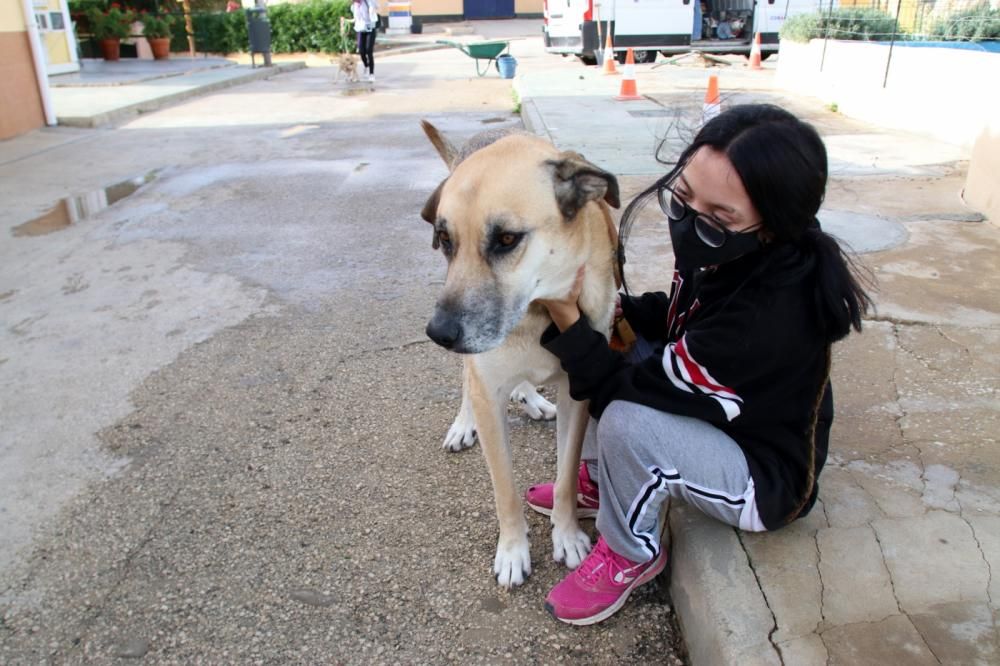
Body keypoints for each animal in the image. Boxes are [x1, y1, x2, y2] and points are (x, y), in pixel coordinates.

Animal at [420, 120, 620, 588]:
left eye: (507, 239)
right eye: (445, 239)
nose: (438, 334)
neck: (539, 310)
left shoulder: (577, 391)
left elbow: (565, 479)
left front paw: (567, 535)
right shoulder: (487, 390)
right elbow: (505, 491)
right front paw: (513, 551)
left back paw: (530, 398)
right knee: (468, 378)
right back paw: (464, 423)